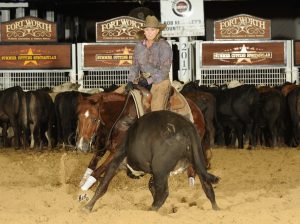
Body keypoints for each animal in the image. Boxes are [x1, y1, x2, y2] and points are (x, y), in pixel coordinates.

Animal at [76, 88, 210, 192]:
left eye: (94, 119)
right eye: (78, 117)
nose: (82, 146)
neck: (120, 119)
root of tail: (198, 111)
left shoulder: (117, 152)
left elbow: (97, 171)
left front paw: (82, 192)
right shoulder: (101, 147)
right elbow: (91, 165)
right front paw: (81, 183)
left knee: (191, 168)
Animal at [83, 111, 219, 213]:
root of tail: (187, 127)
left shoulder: (117, 159)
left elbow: (102, 185)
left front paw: (87, 207)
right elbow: (151, 186)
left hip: (160, 167)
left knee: (163, 193)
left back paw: (151, 210)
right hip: (196, 162)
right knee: (207, 187)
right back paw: (216, 209)